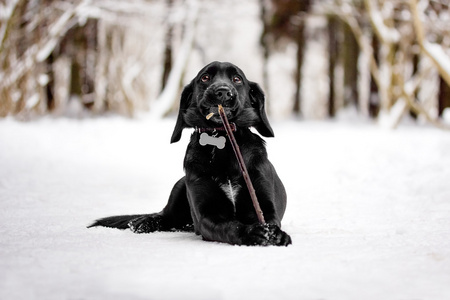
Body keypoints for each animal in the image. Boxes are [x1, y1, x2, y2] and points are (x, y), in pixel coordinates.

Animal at [89, 61, 292, 246]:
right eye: (205, 77)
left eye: (237, 79)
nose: (223, 92)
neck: (224, 141)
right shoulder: (206, 214)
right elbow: (229, 226)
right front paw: (250, 233)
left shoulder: (264, 203)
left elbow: (271, 220)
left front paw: (276, 234)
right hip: (180, 186)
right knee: (164, 215)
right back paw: (143, 222)